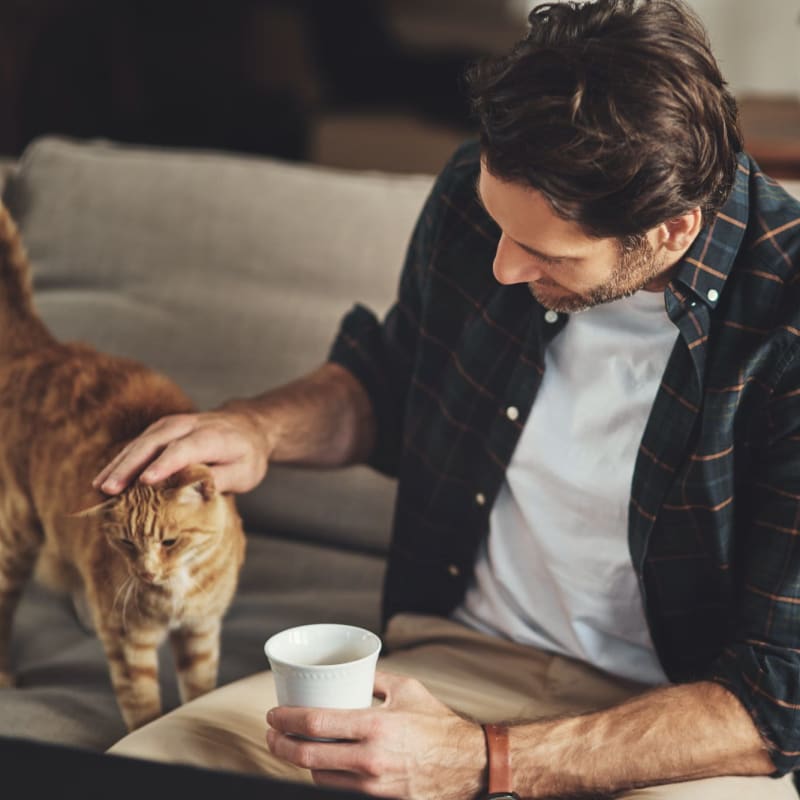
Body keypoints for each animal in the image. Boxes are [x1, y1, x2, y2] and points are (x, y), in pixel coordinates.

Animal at [0, 202, 247, 732]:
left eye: (170, 542)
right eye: (127, 544)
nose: (148, 574)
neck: (175, 591)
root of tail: (45, 349)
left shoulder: (201, 632)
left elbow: (199, 692)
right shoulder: (127, 642)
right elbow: (142, 707)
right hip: (16, 535)